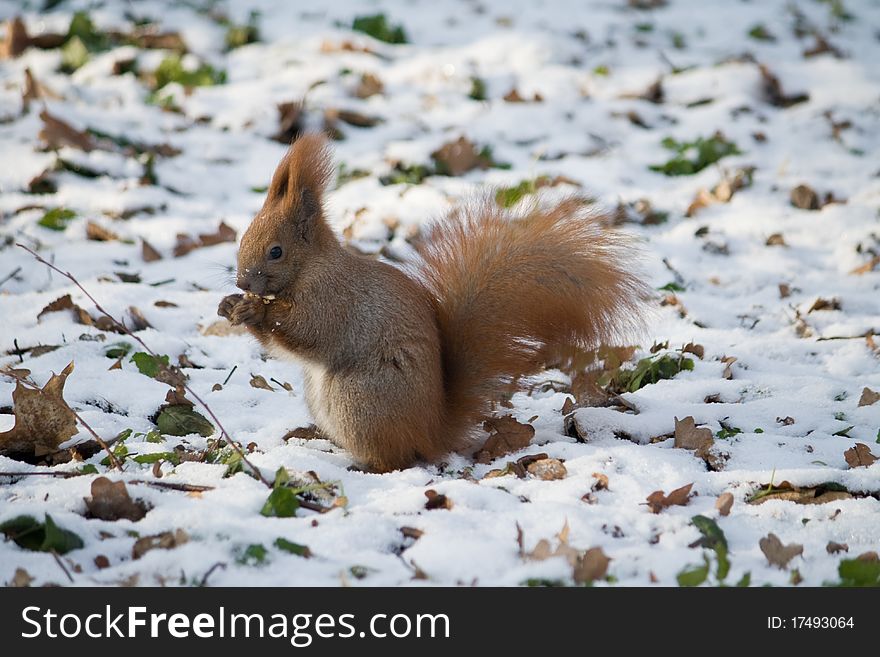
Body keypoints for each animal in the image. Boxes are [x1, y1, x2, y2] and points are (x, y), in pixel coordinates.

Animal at [217, 133, 648, 472]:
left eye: (276, 251)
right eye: (242, 238)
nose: (241, 281)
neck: (311, 267)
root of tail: (431, 431)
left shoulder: (333, 298)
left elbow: (308, 330)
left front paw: (255, 310)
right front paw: (229, 305)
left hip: (360, 399)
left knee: (394, 458)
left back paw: (365, 465)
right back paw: (309, 434)